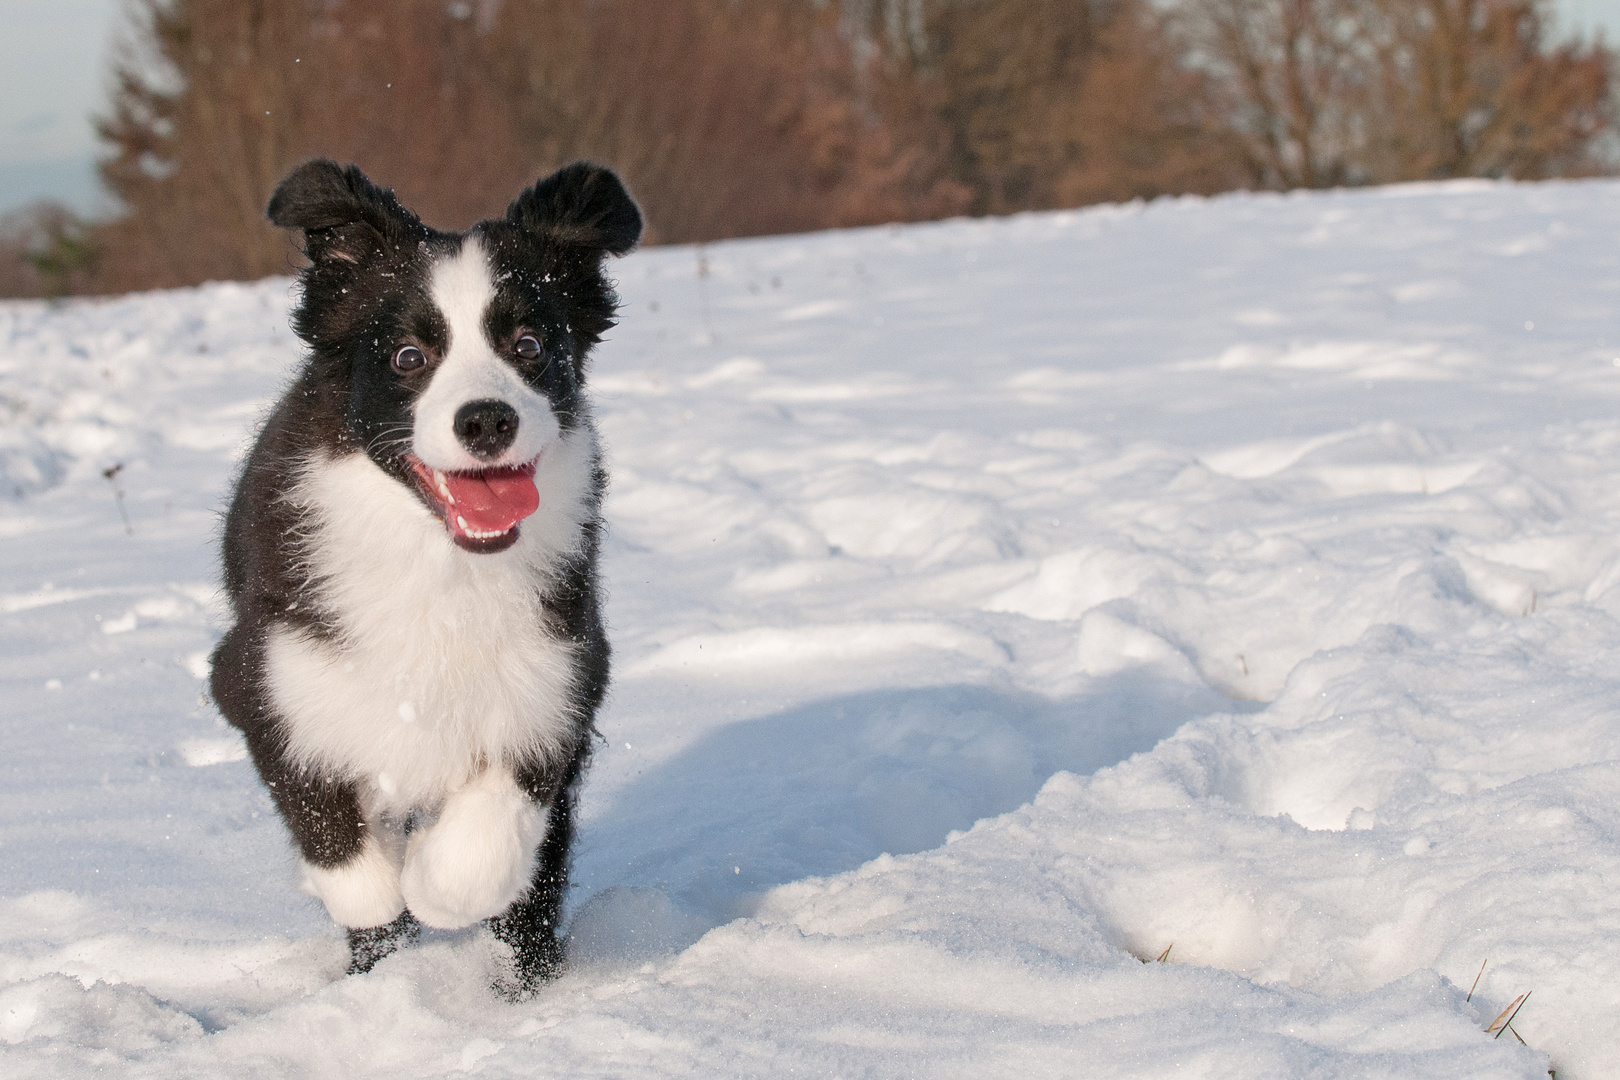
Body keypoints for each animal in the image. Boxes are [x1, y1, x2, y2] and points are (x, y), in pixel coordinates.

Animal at [212, 156, 641, 990]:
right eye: (409, 357)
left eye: (529, 344)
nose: (486, 420)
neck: (443, 565)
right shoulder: (263, 676)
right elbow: (331, 830)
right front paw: (382, 896)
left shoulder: (561, 673)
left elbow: (493, 834)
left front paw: (437, 886)